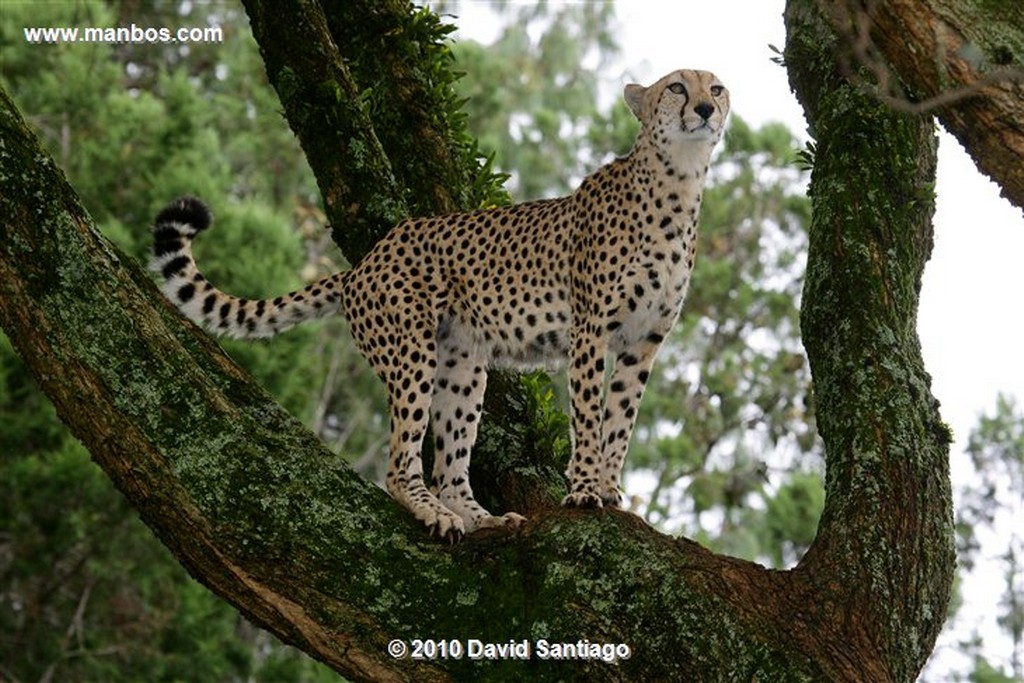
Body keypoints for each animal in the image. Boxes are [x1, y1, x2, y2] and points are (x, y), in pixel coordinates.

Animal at [151, 66, 729, 540]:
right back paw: (431, 512)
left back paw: (477, 518)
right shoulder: (591, 332)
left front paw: (610, 489)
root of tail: (365, 260)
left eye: (717, 87)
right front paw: (585, 489)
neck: (678, 184)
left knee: (449, 465)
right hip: (412, 351)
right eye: (677, 87)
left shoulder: (643, 341)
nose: (705, 108)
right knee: (400, 463)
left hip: (464, 365)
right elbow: (589, 417)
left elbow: (621, 420)